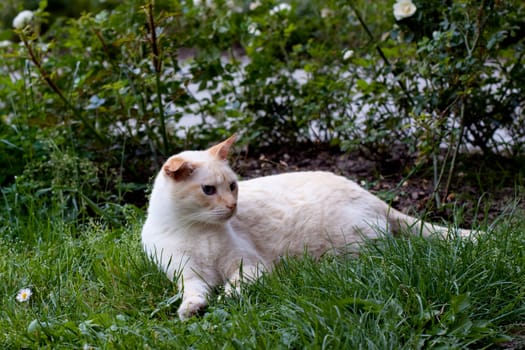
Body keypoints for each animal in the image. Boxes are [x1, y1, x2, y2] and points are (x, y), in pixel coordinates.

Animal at [140, 135, 470, 320]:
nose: (233, 206)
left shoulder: (249, 267)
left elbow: (232, 289)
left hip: (346, 246)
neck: (196, 229)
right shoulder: (188, 274)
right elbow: (194, 293)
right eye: (208, 190)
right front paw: (190, 311)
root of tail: (371, 195)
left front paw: (225, 300)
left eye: (232, 186)